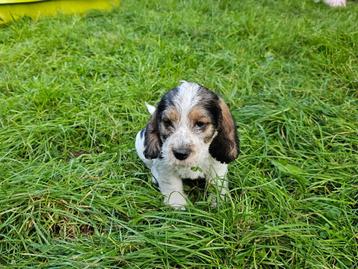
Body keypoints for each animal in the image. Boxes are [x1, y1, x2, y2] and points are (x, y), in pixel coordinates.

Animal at [136, 80, 239, 208]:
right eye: (167, 122)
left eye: (200, 123)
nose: (180, 153)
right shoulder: (166, 167)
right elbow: (172, 186)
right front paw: (177, 206)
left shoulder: (217, 166)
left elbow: (217, 184)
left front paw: (218, 202)